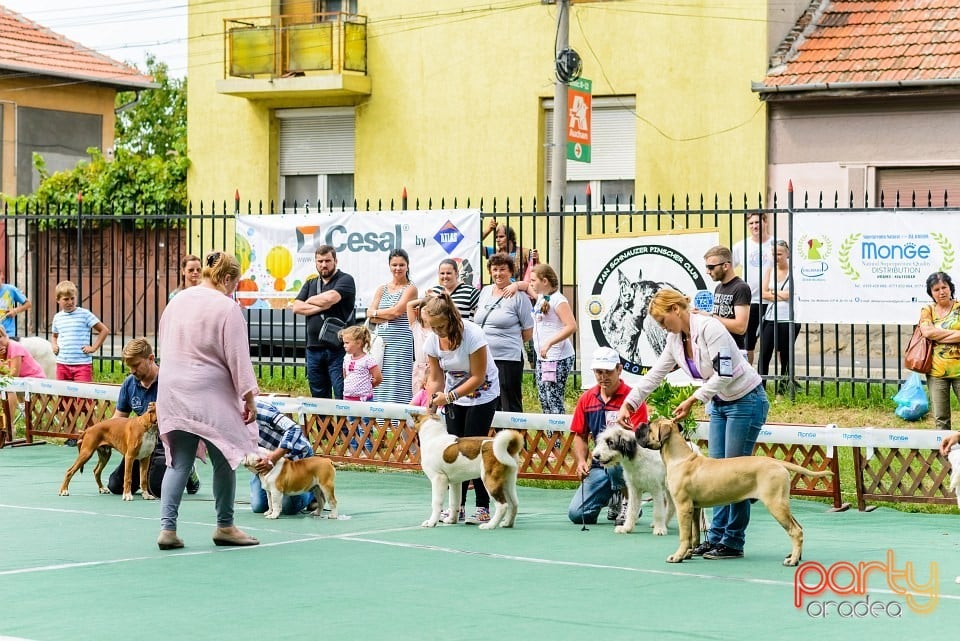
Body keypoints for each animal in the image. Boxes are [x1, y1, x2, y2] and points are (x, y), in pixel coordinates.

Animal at [636, 418, 832, 568]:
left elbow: (684, 536)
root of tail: (778, 463)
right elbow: (694, 535)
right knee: (799, 528)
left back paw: (792, 561)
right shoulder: (694, 509)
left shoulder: (683, 507)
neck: (680, 457)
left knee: (795, 531)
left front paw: (677, 556)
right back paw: (795, 556)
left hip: (776, 504)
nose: (639, 425)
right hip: (782, 503)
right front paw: (687, 554)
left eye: (649, 426)